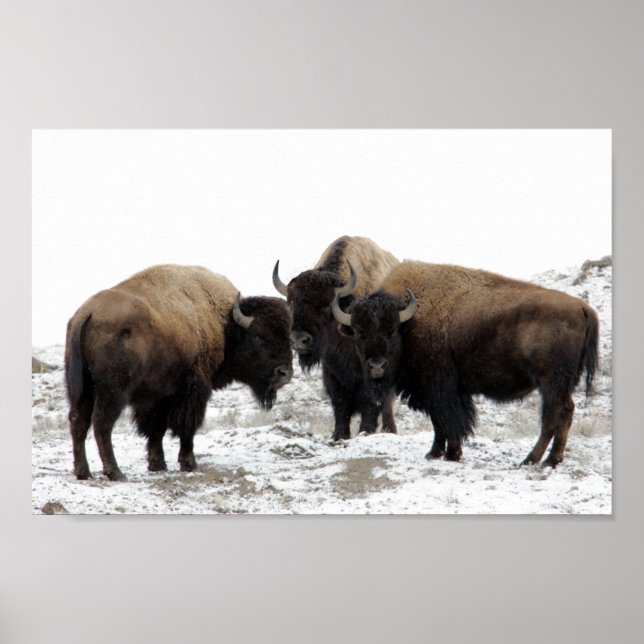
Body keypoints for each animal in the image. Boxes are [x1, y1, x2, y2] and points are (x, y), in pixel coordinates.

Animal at [65, 264, 293, 481]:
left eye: (289, 337)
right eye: (258, 337)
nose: (284, 373)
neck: (224, 324)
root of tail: (87, 314)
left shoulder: (156, 397)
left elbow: (155, 429)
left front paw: (157, 465)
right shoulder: (193, 391)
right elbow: (186, 427)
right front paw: (189, 464)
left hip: (81, 389)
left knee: (78, 421)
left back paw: (83, 472)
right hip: (113, 392)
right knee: (101, 424)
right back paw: (115, 473)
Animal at [273, 236, 399, 440]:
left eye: (326, 305)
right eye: (291, 304)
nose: (299, 340)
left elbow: (371, 401)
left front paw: (365, 431)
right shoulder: (332, 371)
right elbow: (340, 403)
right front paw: (339, 435)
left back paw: (390, 430)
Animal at [332, 260, 599, 467]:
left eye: (392, 331)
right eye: (359, 332)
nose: (377, 367)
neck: (411, 321)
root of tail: (582, 307)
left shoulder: (438, 388)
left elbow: (446, 420)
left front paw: (446, 454)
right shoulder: (447, 391)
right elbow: (444, 421)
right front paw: (439, 453)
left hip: (551, 382)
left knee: (554, 416)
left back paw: (535, 460)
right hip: (559, 384)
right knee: (563, 414)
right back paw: (548, 460)